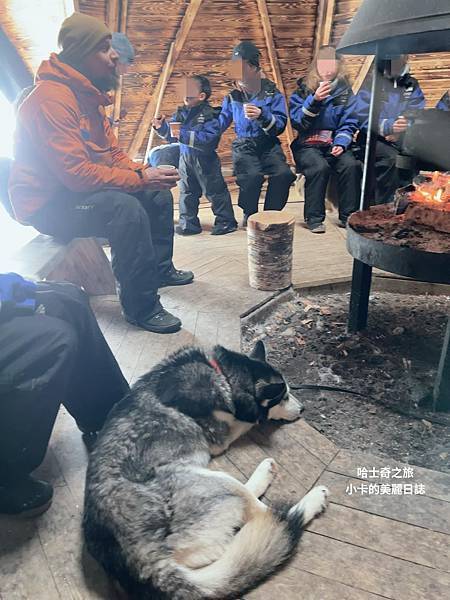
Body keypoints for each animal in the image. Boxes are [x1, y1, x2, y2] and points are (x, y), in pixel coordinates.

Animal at [82, 342, 328, 600]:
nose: (303, 408)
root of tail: (142, 560)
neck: (223, 374)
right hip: (211, 479)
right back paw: (311, 499)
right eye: (283, 397)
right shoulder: (221, 436)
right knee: (270, 515)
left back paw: (265, 474)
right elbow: (248, 420)